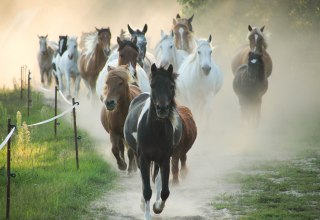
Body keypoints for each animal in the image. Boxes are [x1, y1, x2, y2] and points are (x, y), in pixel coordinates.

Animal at [125, 64, 198, 220]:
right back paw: (142, 203)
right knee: (144, 181)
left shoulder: (164, 159)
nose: (162, 109)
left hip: (158, 161)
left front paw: (157, 207)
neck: (155, 131)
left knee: (157, 181)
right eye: (153, 85)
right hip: (140, 157)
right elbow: (146, 188)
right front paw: (147, 213)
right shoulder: (143, 158)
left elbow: (165, 190)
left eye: (171, 86)